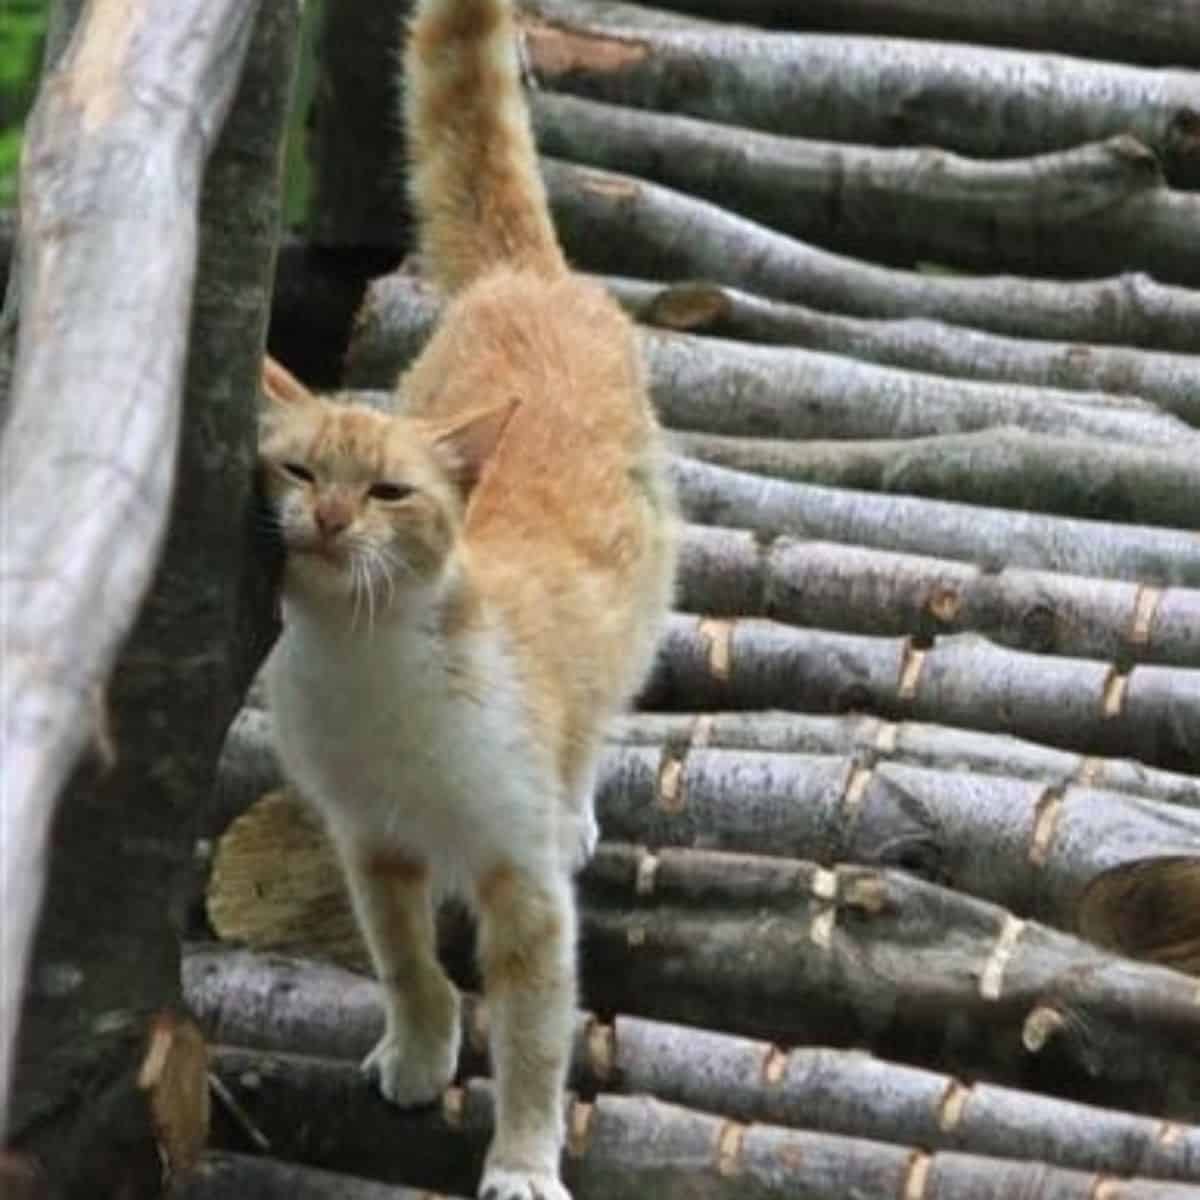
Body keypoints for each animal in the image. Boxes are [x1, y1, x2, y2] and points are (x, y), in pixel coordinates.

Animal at [259, 0, 681, 1190]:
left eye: (389, 491)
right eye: (298, 472)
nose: (331, 519)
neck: (370, 664)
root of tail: (522, 279)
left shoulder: (522, 881)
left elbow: (535, 1036)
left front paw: (525, 1163)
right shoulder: (371, 842)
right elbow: (403, 959)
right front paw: (417, 1050)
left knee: (599, 719)